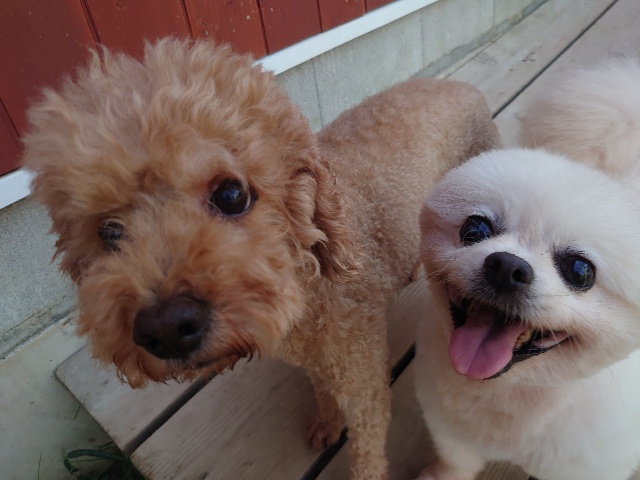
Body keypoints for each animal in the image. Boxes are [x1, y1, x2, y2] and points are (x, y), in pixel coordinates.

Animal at [21, 38, 498, 479]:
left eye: (232, 194)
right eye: (109, 234)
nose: (166, 329)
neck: (312, 283)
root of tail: (463, 86)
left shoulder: (362, 378)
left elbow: (366, 444)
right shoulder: (320, 363)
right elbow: (322, 392)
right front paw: (326, 424)